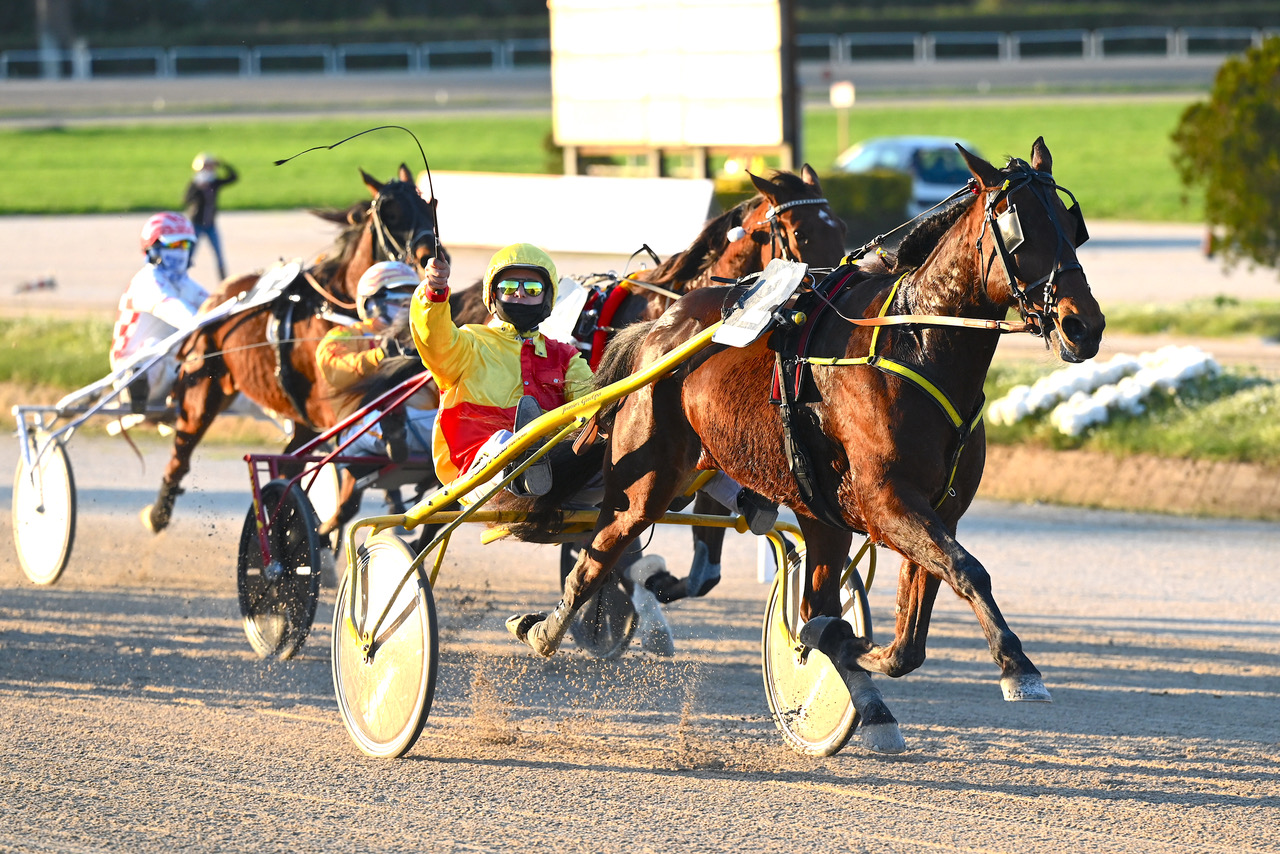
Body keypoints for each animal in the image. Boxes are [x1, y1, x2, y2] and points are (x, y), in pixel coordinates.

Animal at [143, 163, 437, 530]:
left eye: (430, 204)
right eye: (391, 213)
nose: (433, 256)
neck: (337, 306)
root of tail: (218, 295)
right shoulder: (333, 407)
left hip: (300, 418)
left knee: (286, 463)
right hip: (203, 392)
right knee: (181, 453)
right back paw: (159, 513)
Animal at [504, 136, 1105, 752]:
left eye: (1071, 226)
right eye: (1021, 229)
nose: (1084, 326)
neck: (914, 344)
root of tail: (662, 325)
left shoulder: (936, 507)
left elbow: (908, 636)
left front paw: (857, 648)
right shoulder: (888, 501)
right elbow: (967, 570)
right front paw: (1018, 667)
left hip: (808, 508)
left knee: (810, 597)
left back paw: (862, 694)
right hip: (648, 479)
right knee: (600, 552)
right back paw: (548, 628)